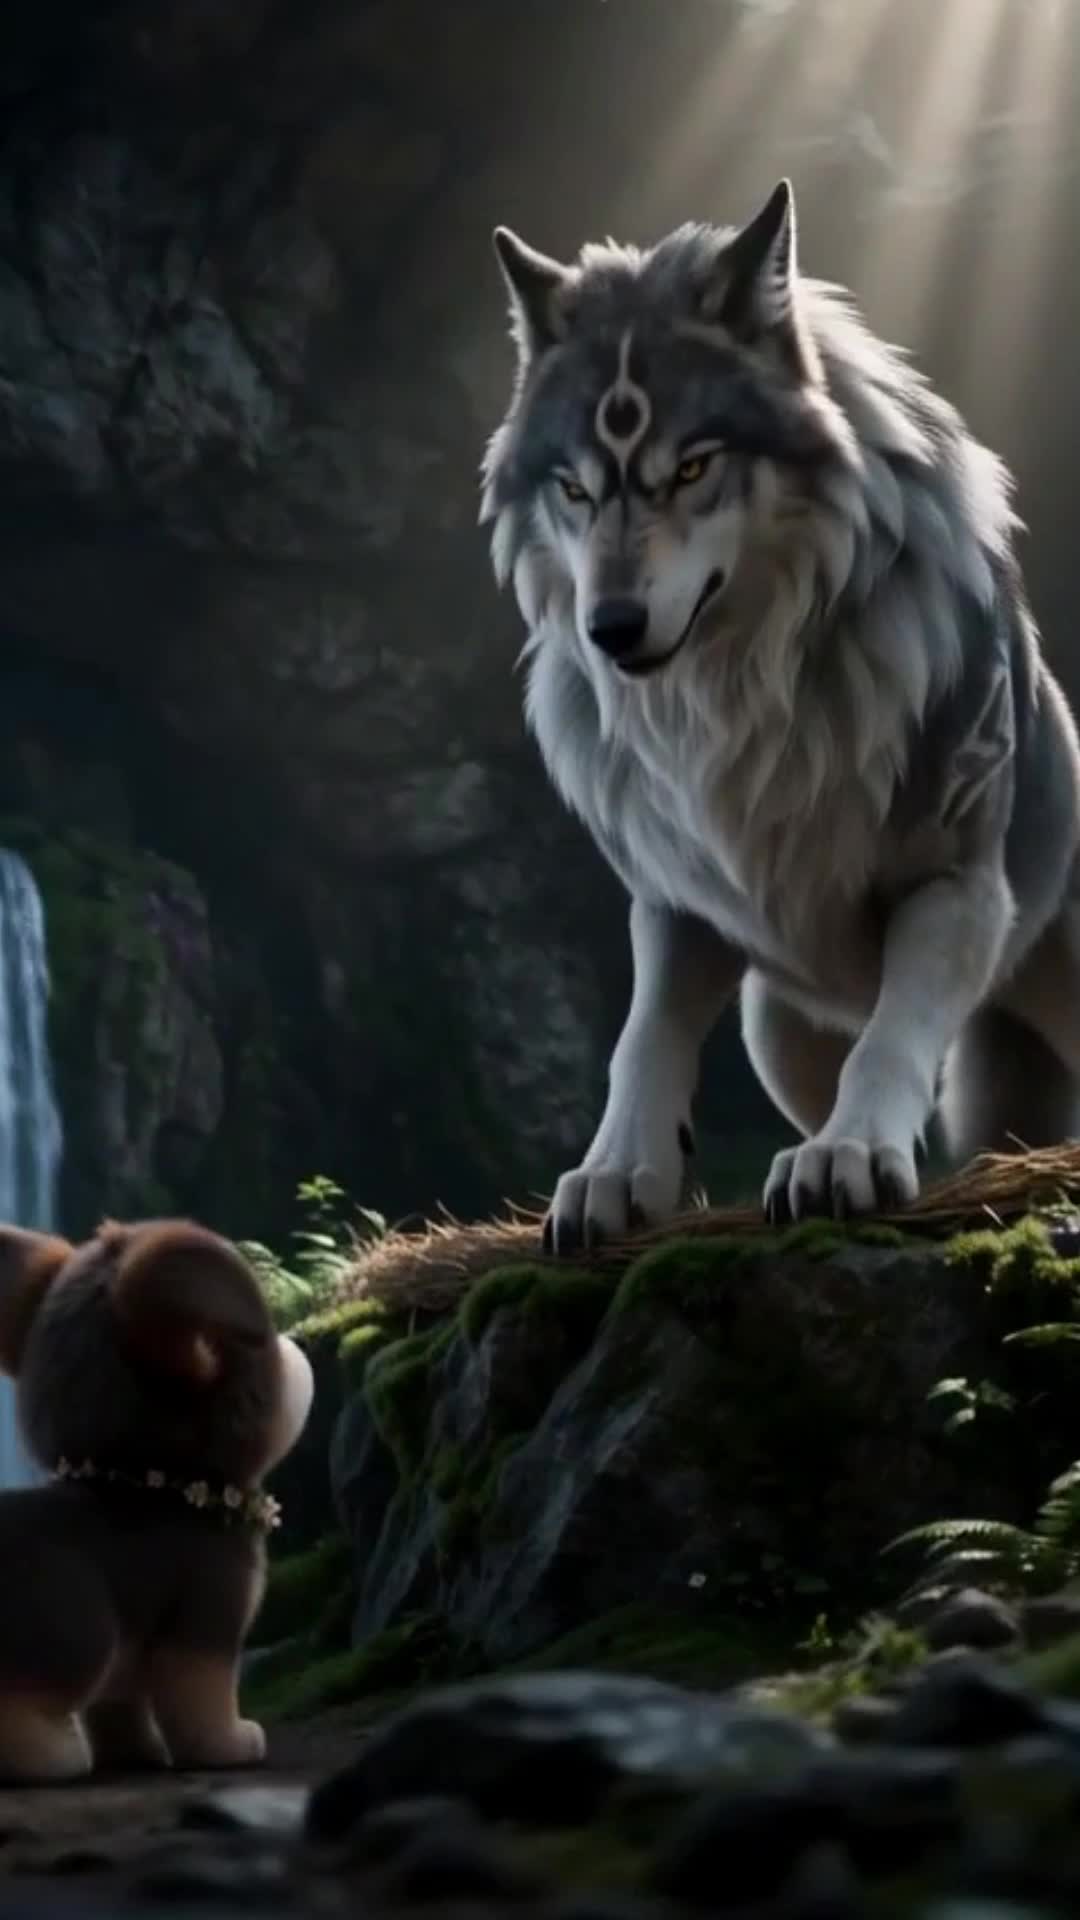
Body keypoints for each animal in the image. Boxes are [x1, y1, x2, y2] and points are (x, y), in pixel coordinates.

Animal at [480, 178, 1080, 1253]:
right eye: (575, 487)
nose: (612, 628)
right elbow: (640, 1043)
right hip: (777, 1027)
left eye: (691, 468)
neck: (743, 694)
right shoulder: (677, 905)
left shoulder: (956, 884)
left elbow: (890, 1039)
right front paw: (616, 1175)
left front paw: (848, 1158)